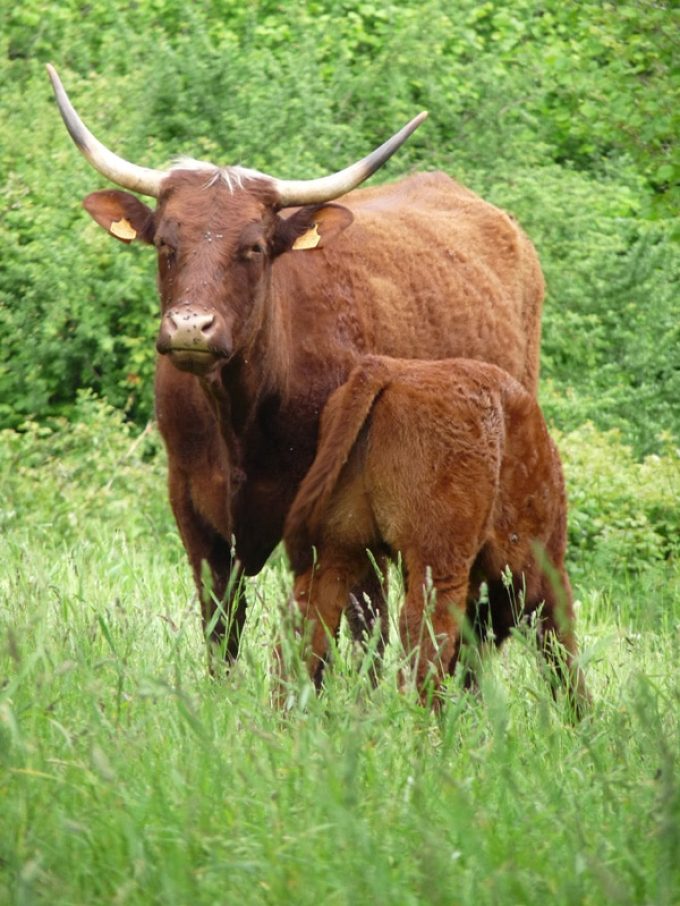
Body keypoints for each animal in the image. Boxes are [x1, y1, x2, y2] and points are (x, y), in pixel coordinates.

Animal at [48, 64, 545, 663]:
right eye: (165, 243)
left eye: (255, 247)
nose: (190, 326)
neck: (238, 419)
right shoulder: (194, 514)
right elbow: (222, 628)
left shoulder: (329, 524)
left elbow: (353, 631)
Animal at [283, 356, 588, 713]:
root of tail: (389, 368)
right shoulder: (545, 570)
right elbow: (562, 646)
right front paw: (582, 717)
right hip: (439, 564)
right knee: (423, 630)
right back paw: (425, 720)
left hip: (336, 550)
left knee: (307, 619)